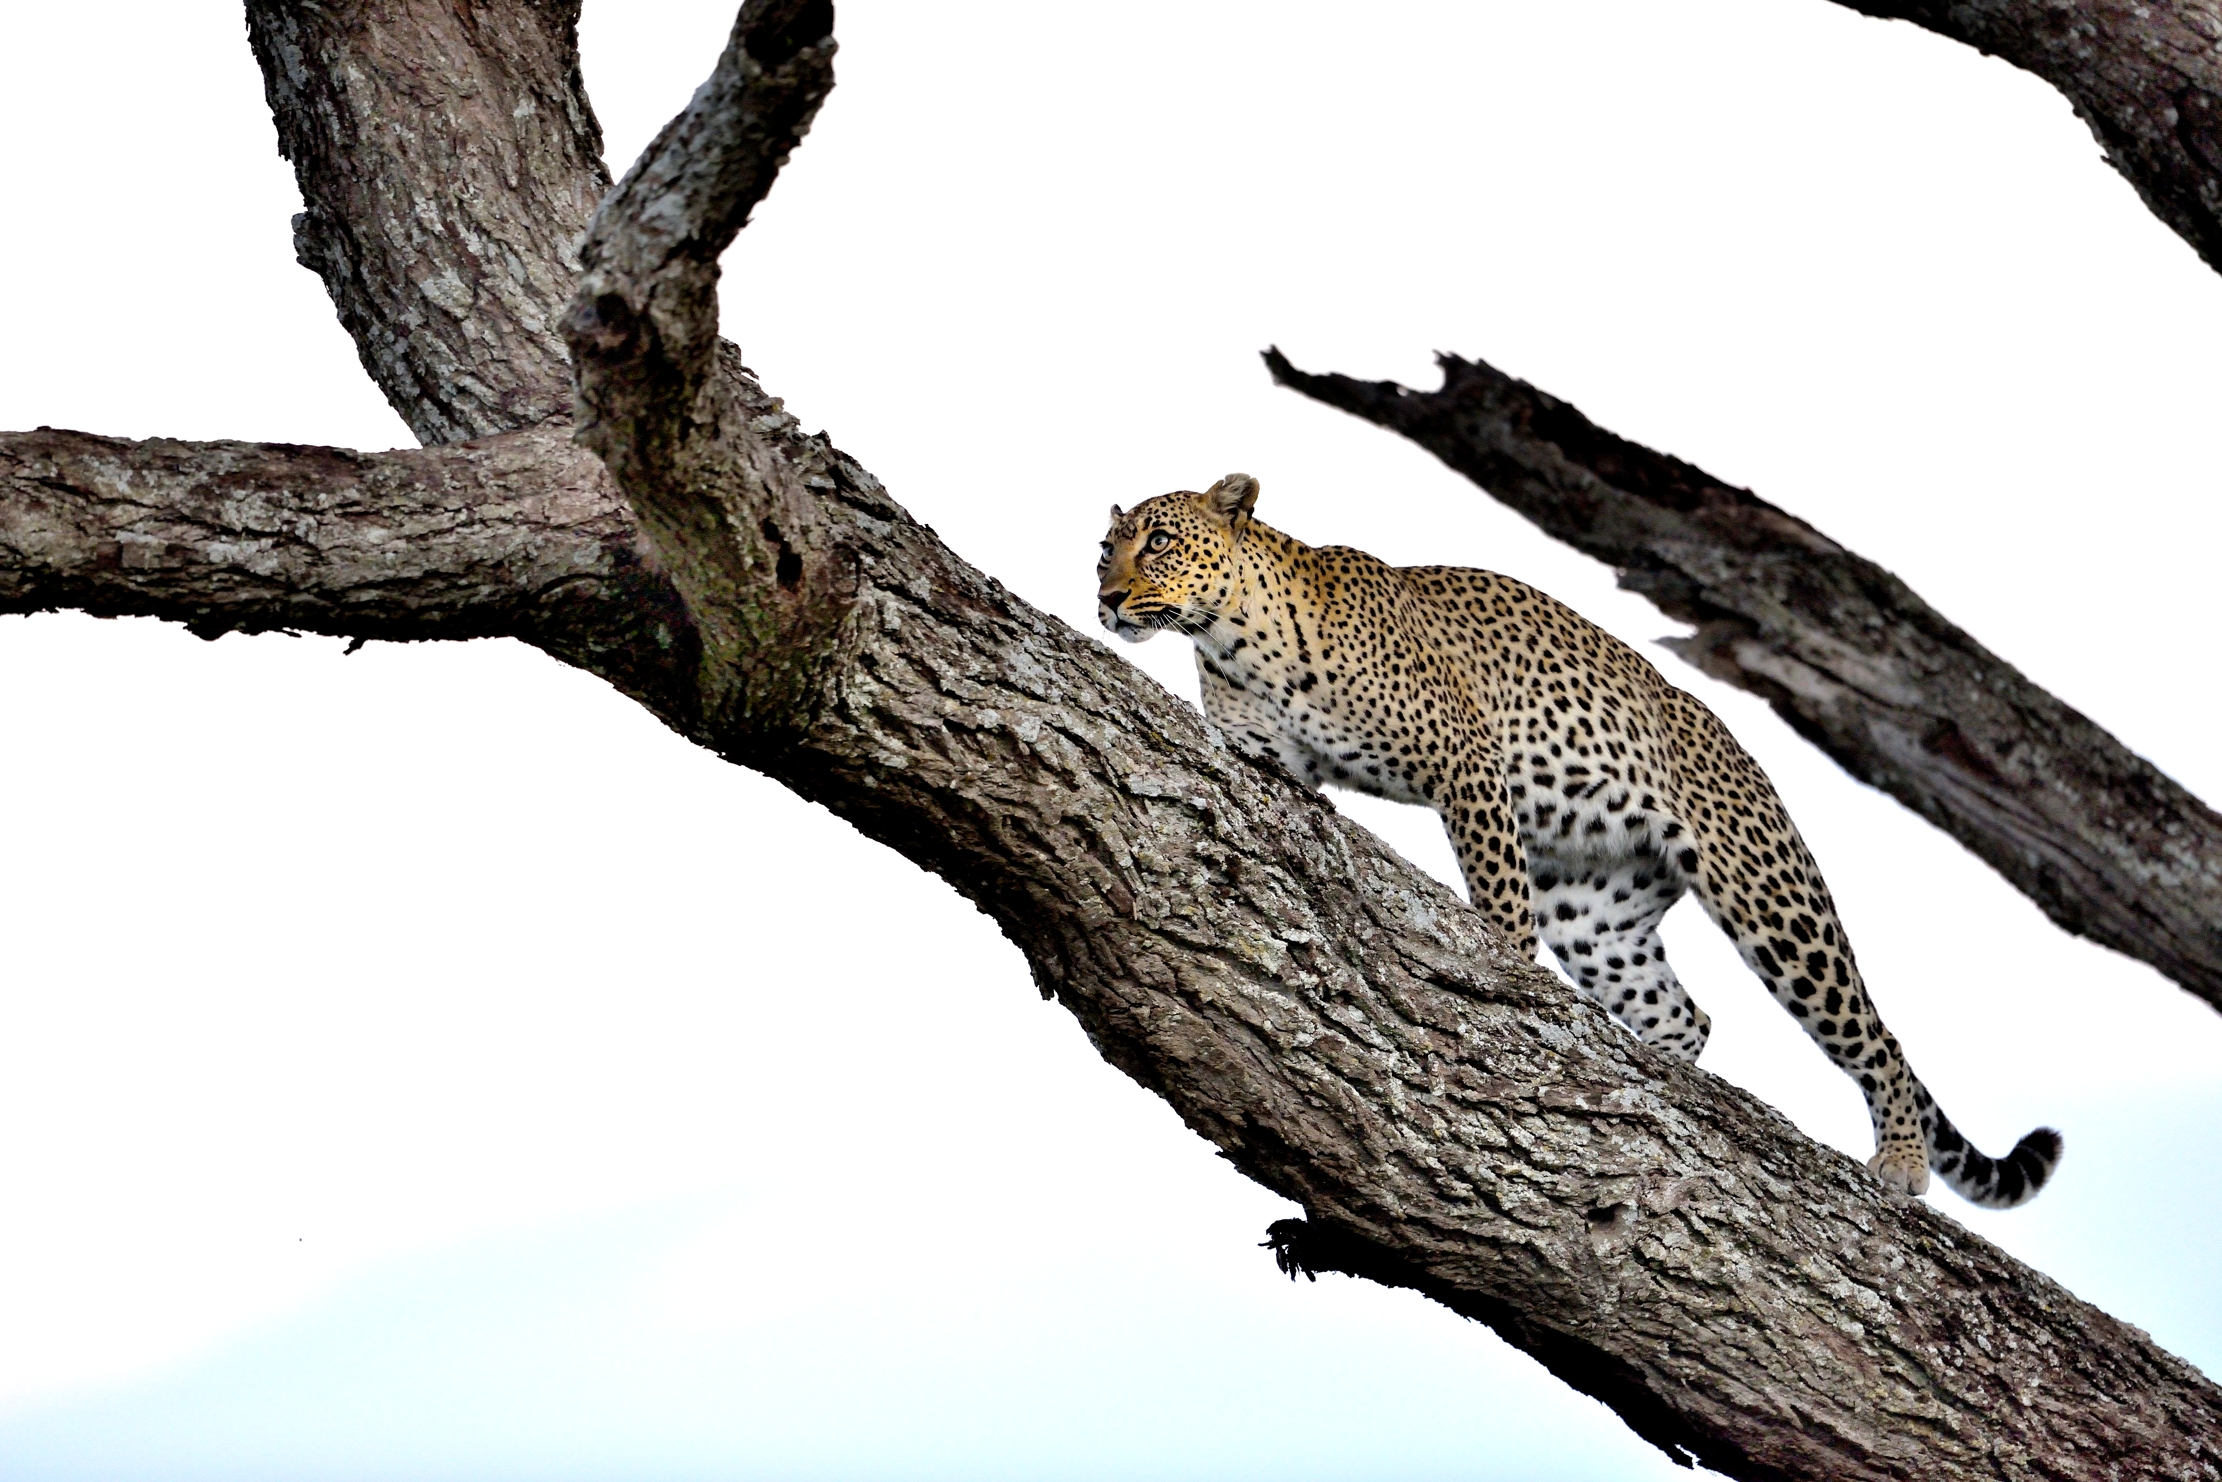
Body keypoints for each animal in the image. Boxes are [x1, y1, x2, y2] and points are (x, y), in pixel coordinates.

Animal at [1097, 473, 2062, 1208]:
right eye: (1104, 549)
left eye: (1161, 542)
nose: (1104, 600)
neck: (1231, 636)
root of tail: (1741, 751)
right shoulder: (1270, 757)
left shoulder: (1470, 764)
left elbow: (1499, 900)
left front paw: (1500, 977)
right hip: (1596, 916)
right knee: (1689, 1014)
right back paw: (1651, 1084)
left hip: (1770, 897)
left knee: (1875, 1036)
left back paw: (1899, 1162)